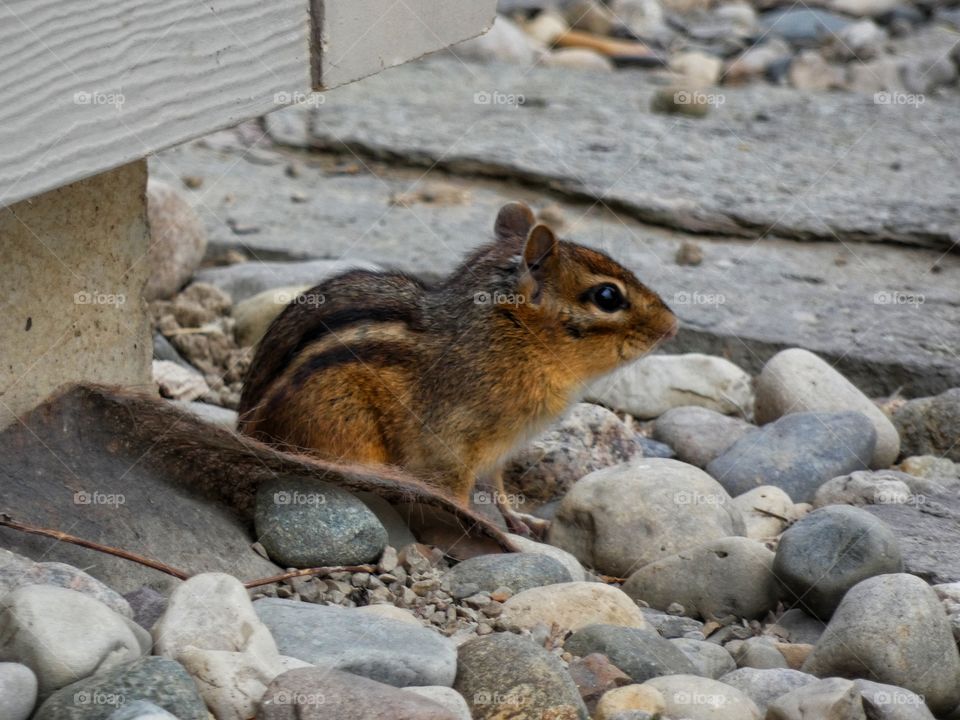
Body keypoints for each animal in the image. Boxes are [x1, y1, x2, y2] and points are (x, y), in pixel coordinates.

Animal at [238, 201, 678, 532]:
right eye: (607, 296)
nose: (673, 325)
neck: (514, 340)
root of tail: (247, 430)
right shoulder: (453, 443)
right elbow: (457, 493)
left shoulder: (500, 450)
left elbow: (498, 487)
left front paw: (519, 520)